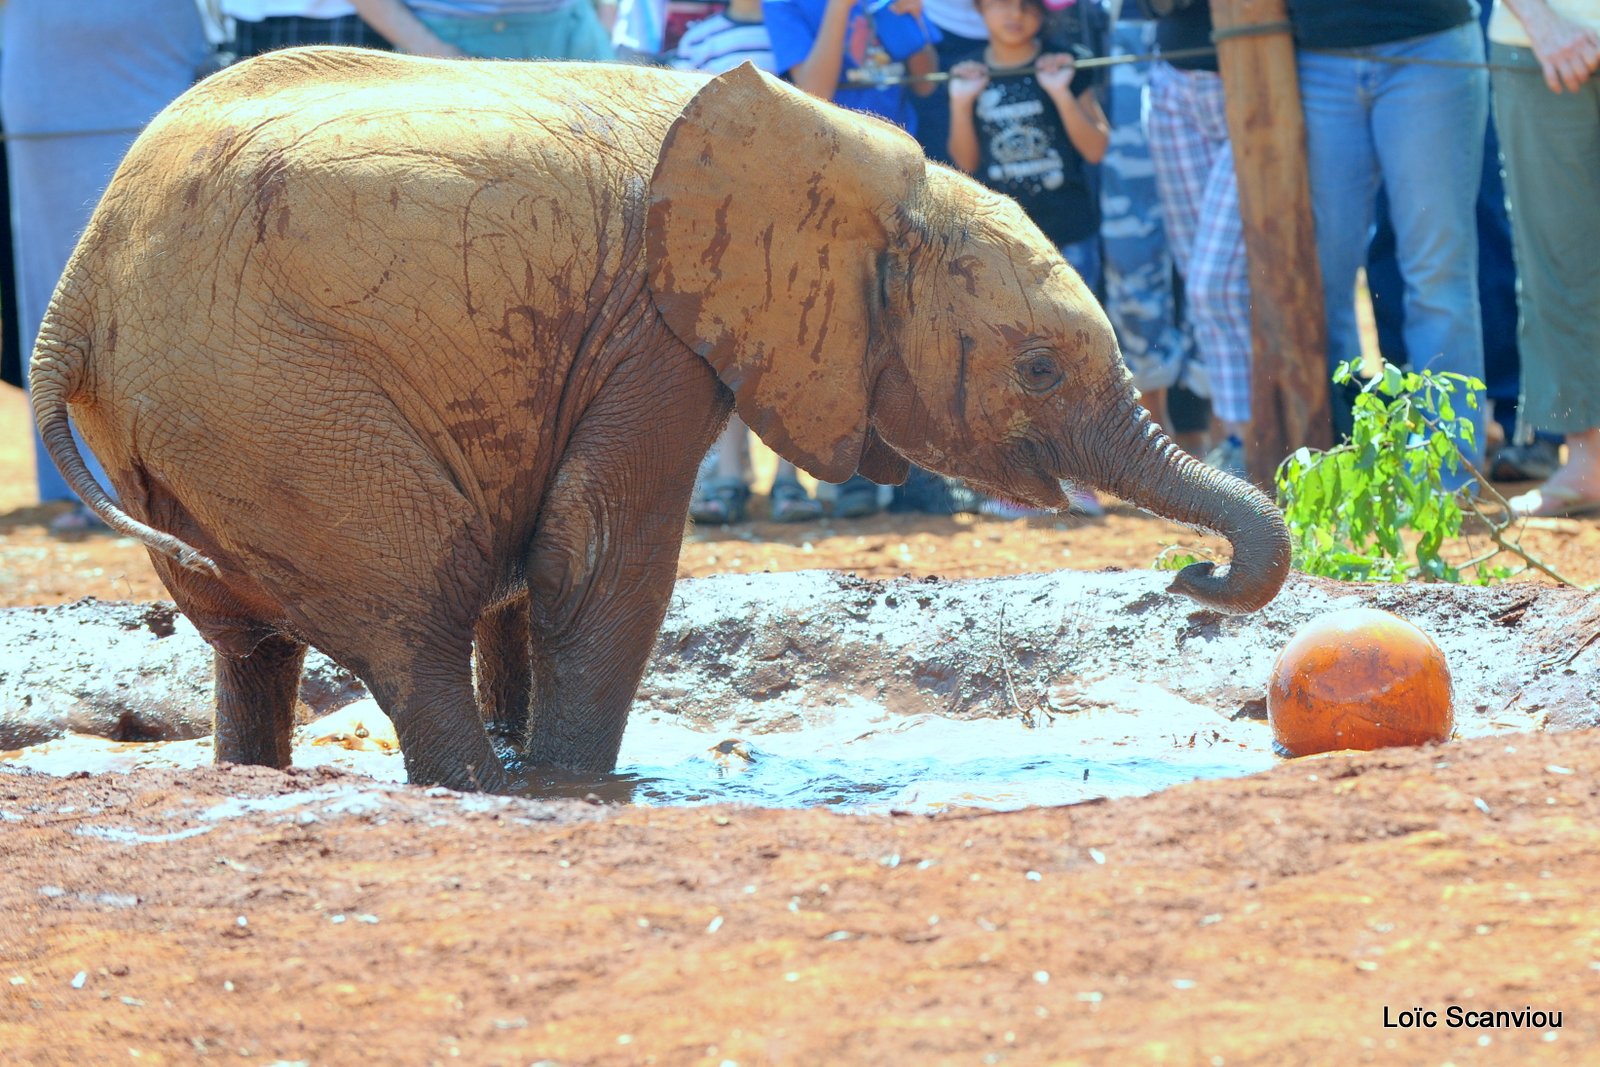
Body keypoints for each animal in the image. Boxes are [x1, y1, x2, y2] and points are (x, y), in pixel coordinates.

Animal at [34, 49, 1286, 793]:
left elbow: (533, 568)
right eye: (1036, 368)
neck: (857, 169)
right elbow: (593, 557)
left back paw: (262, 775)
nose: (1189, 575)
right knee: (413, 614)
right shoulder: (655, 333)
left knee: (253, 641)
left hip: (204, 419)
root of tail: (72, 299)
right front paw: (573, 788)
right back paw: (480, 791)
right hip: (279, 397)